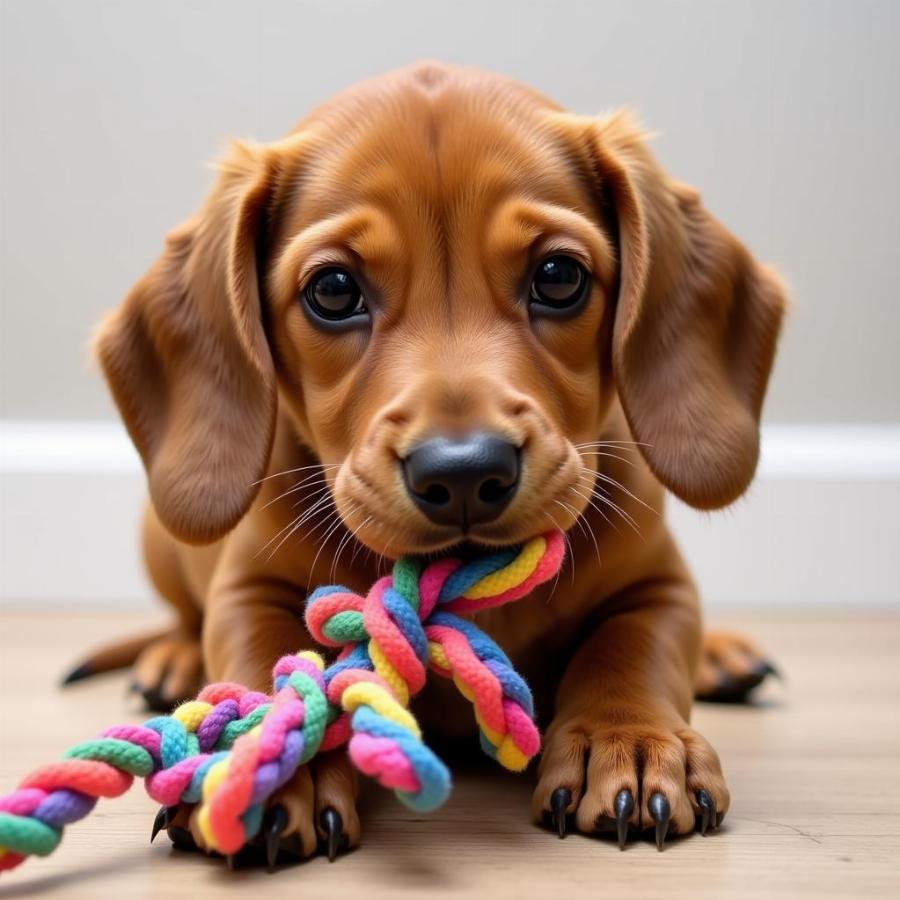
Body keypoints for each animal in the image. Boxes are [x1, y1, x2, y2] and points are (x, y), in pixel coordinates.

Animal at [77, 61, 784, 856]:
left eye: (559, 276)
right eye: (333, 290)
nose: (465, 473)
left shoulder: (659, 586)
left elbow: (631, 648)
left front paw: (626, 736)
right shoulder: (246, 589)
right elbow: (268, 654)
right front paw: (265, 756)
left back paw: (724, 655)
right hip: (160, 540)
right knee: (179, 616)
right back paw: (170, 660)